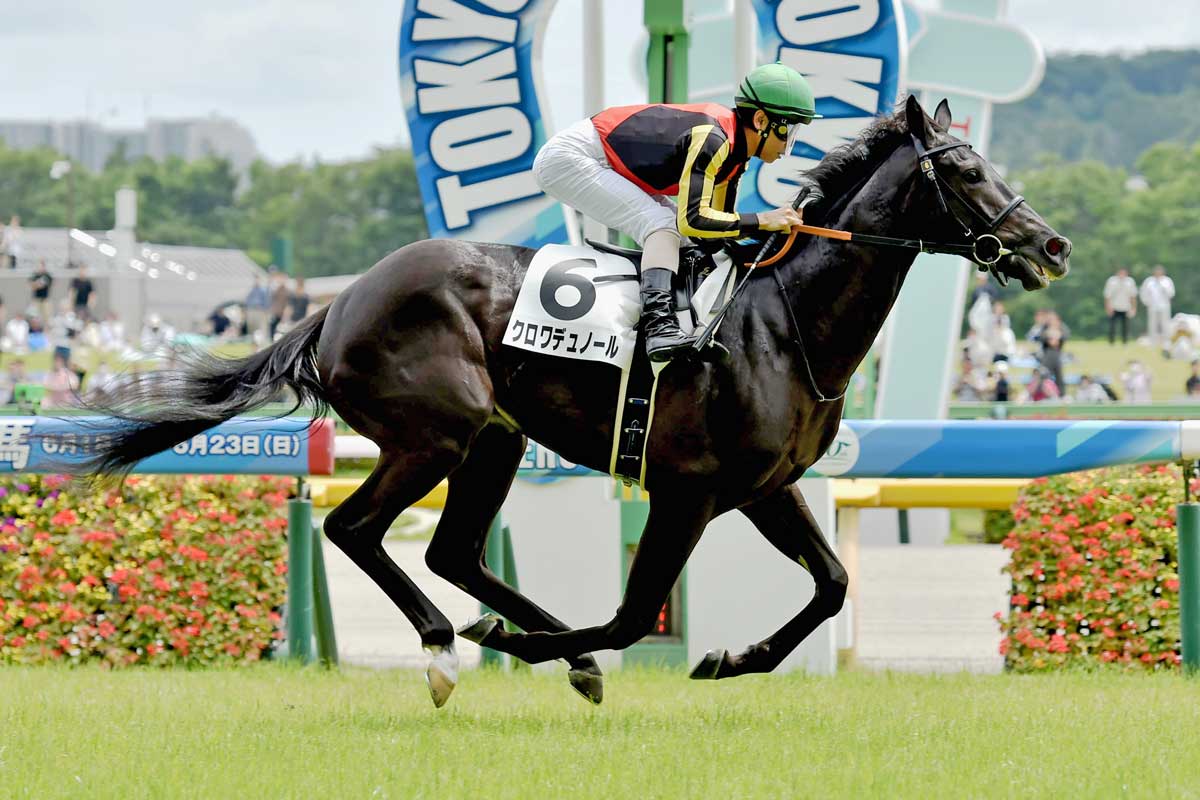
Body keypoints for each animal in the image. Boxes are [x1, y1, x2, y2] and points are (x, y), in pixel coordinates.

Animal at [81, 96, 1070, 707]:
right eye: (966, 171)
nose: (1051, 245)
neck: (782, 321)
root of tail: (339, 302)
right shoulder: (687, 491)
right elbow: (638, 611)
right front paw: (542, 651)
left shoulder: (767, 486)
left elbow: (830, 585)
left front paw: (731, 658)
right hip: (433, 436)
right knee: (355, 529)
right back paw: (450, 650)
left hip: (494, 440)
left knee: (452, 550)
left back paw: (553, 648)